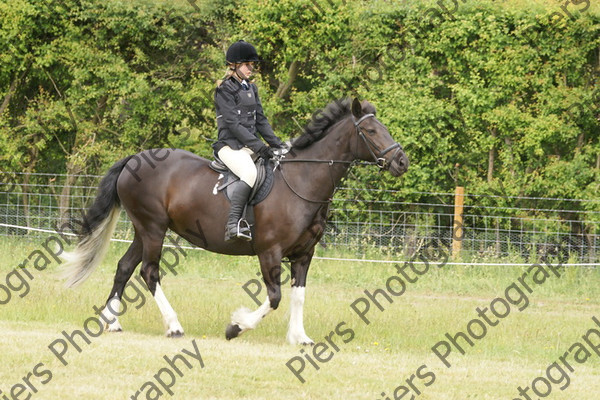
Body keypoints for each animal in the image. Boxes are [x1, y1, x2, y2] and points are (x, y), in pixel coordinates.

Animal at [61, 97, 408, 344]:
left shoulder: (303, 254)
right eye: (371, 131)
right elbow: (275, 297)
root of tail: (135, 158)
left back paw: (112, 322)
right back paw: (174, 326)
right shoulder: (270, 251)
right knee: (149, 272)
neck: (303, 180)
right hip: (153, 228)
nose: (402, 162)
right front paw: (236, 326)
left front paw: (300, 337)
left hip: (142, 230)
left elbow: (298, 295)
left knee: (124, 267)